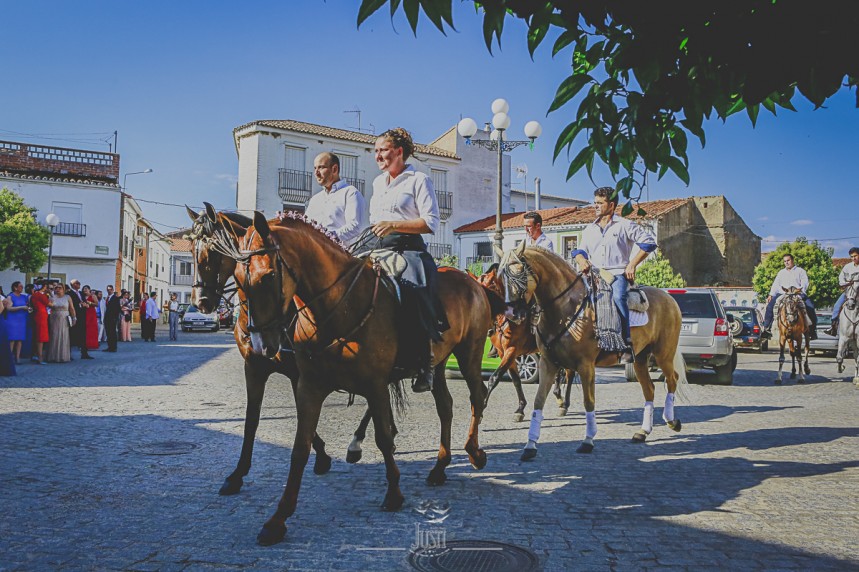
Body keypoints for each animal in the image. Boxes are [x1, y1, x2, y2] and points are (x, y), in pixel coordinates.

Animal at [183, 207, 334, 496]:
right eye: (192, 250)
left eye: (214, 250)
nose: (201, 302)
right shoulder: (254, 368)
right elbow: (252, 418)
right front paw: (238, 474)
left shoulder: (299, 374)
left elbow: (304, 413)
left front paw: (321, 455)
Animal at [233, 211, 498, 544]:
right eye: (236, 278)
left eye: (268, 276)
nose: (260, 344)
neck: (337, 309)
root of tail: (471, 280)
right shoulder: (309, 387)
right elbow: (299, 448)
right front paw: (278, 519)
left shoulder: (375, 385)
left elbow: (383, 438)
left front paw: (394, 493)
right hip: (437, 364)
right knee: (446, 407)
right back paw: (439, 467)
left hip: (469, 354)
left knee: (477, 397)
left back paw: (475, 453)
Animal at [498, 244, 684, 458]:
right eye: (501, 277)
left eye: (519, 273)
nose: (512, 313)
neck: (567, 308)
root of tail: (668, 297)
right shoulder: (548, 363)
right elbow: (538, 401)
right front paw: (530, 445)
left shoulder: (586, 365)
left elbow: (589, 402)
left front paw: (588, 440)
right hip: (640, 358)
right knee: (649, 389)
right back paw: (643, 432)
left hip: (664, 353)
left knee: (672, 380)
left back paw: (672, 421)